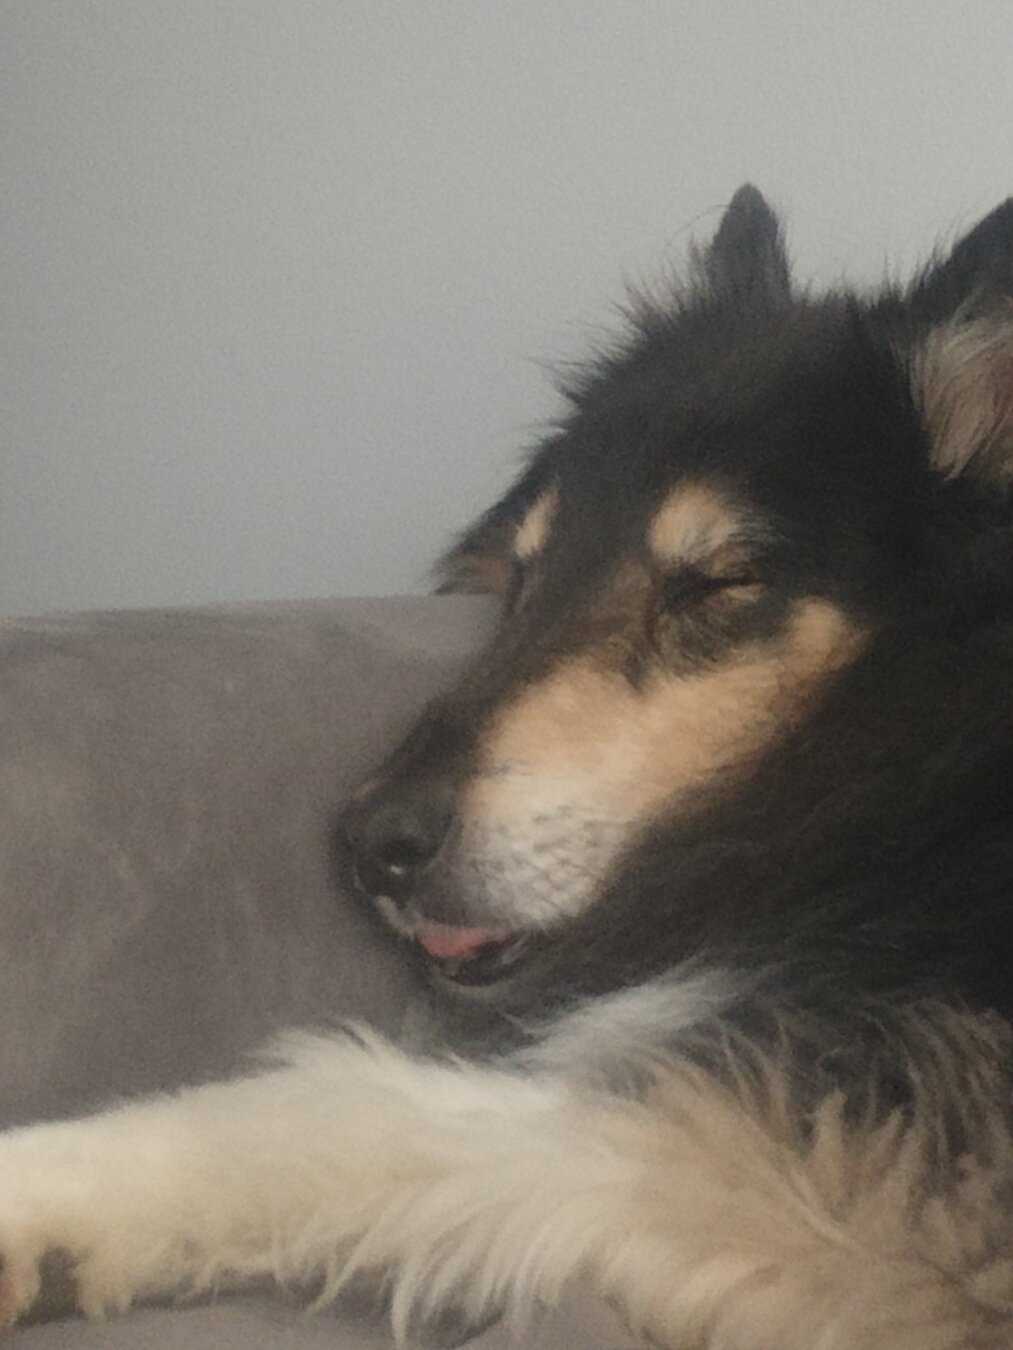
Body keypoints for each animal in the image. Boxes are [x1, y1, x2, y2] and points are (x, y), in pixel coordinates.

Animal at [1, 182, 1013, 1350]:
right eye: (526, 576)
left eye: (717, 583)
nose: (371, 846)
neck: (934, 773)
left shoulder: (849, 1168)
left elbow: (347, 1100)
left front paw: (37, 1198)